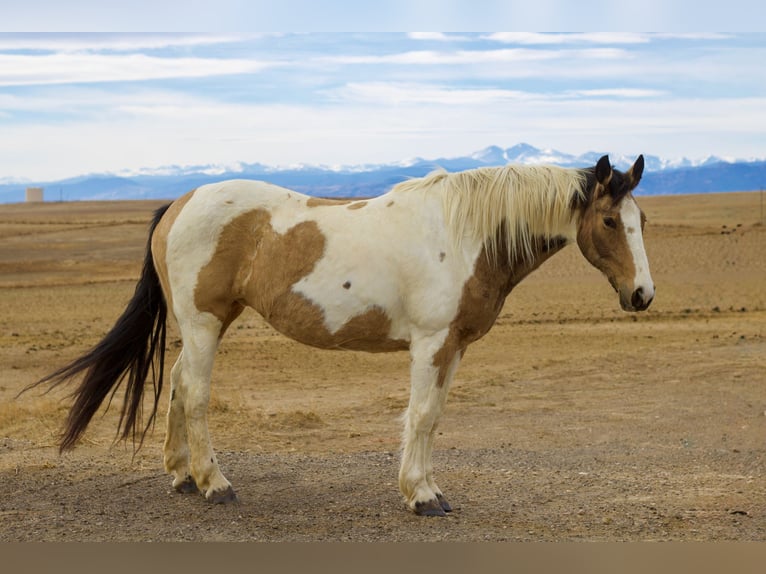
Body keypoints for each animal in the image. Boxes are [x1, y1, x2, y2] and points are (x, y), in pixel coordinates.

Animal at [27, 154, 654, 516]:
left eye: (641, 221)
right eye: (607, 221)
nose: (643, 295)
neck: (462, 233)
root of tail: (180, 204)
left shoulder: (452, 348)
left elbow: (434, 417)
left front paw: (428, 487)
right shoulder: (431, 344)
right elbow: (420, 416)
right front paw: (421, 495)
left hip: (202, 326)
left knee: (180, 387)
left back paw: (181, 476)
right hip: (204, 324)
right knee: (197, 395)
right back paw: (214, 484)